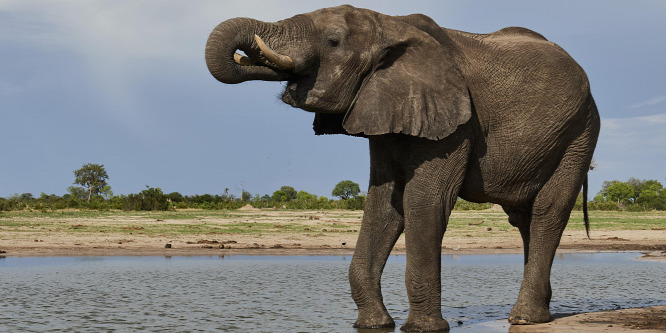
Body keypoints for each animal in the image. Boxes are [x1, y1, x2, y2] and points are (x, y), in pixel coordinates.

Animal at [205, 3, 600, 330]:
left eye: (333, 41)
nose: (246, 52)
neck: (388, 25)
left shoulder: (456, 121)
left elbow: (424, 201)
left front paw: (424, 328)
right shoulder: (382, 107)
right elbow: (384, 203)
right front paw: (374, 324)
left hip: (579, 132)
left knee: (549, 210)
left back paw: (525, 318)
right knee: (523, 219)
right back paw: (538, 314)